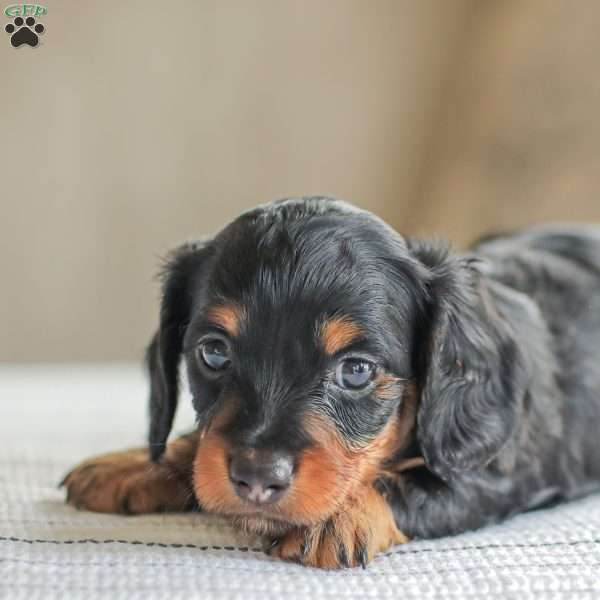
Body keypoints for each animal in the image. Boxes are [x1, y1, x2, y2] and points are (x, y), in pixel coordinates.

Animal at [63, 196, 600, 568]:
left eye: (356, 370)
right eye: (213, 352)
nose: (257, 477)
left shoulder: (496, 470)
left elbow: (412, 482)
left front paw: (338, 517)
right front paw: (136, 463)